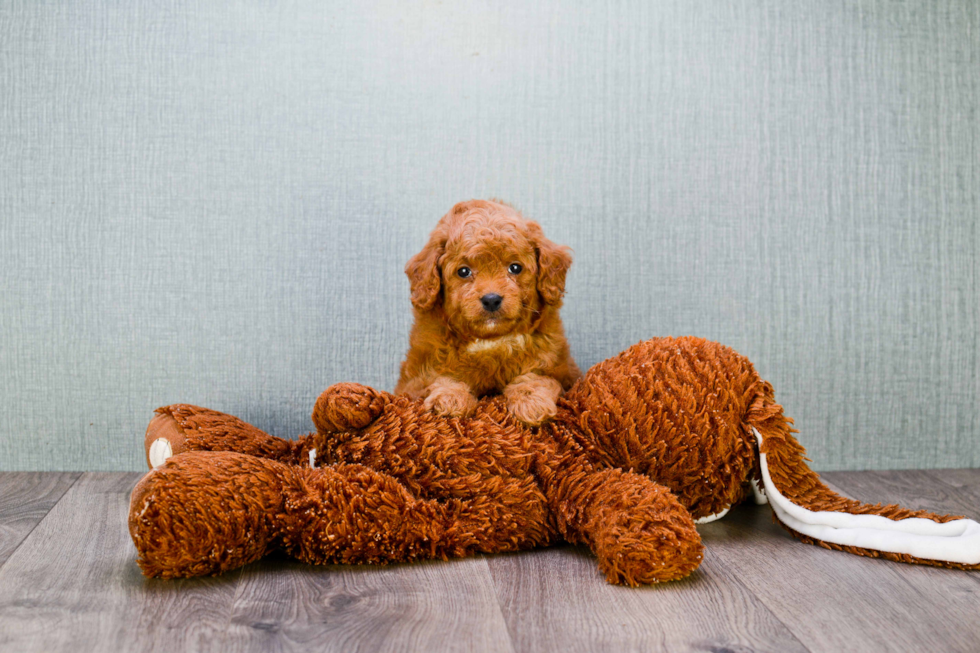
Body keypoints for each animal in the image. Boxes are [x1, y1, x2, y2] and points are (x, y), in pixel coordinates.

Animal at [396, 201, 580, 430]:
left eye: (515, 268)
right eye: (463, 271)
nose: (491, 299)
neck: (490, 342)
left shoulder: (562, 373)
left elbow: (537, 378)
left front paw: (532, 402)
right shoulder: (414, 381)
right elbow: (440, 378)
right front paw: (449, 398)